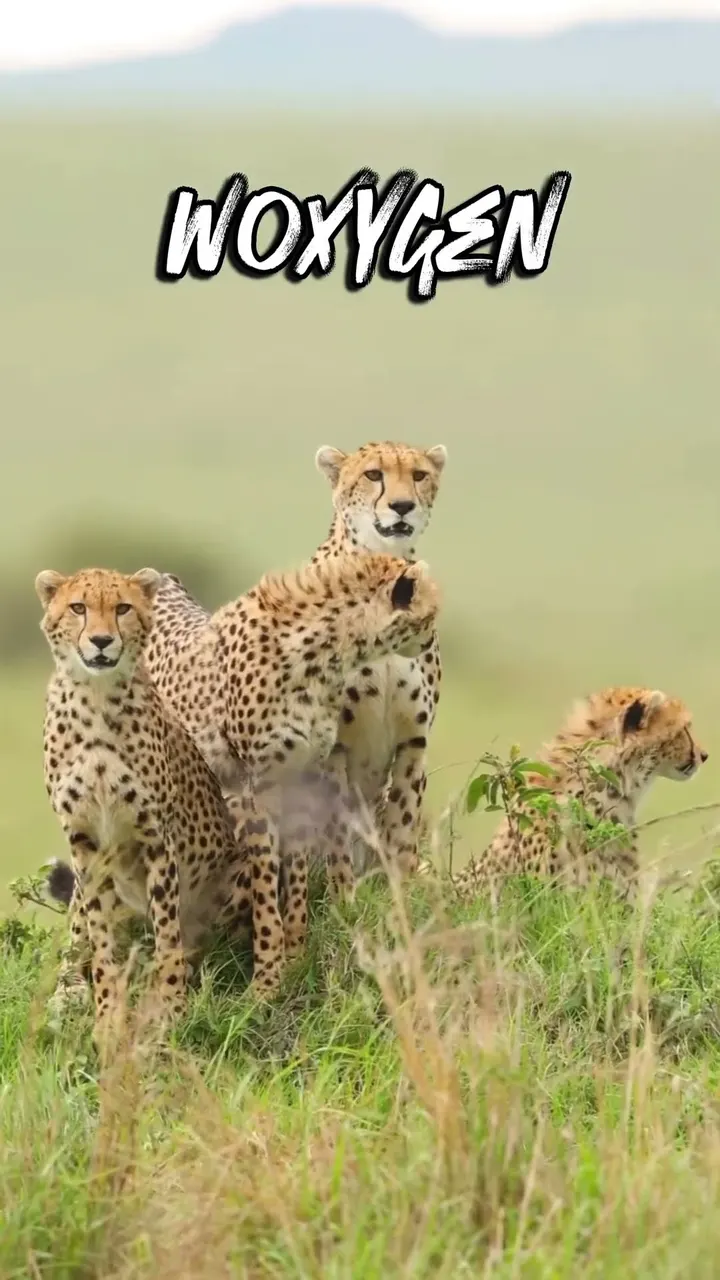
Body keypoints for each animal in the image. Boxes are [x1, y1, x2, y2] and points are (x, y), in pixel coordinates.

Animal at [36, 566, 259, 1044]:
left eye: (122, 608)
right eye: (78, 607)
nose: (102, 641)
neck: (97, 699)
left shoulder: (156, 837)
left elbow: (168, 934)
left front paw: (170, 1006)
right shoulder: (85, 841)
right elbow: (100, 939)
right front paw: (106, 1016)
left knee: (199, 940)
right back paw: (70, 992)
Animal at [143, 552, 441, 988]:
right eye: (431, 611)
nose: (431, 639)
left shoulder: (305, 774)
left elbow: (296, 877)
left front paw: (296, 952)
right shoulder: (257, 785)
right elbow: (266, 884)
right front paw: (267, 977)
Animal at [310, 440, 447, 880]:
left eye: (419, 475)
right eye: (373, 474)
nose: (402, 506)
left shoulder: (413, 741)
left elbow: (401, 833)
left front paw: (398, 892)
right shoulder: (333, 746)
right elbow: (337, 838)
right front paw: (345, 893)